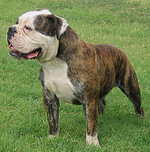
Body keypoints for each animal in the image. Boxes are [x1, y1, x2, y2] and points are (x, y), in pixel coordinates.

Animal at [7, 9, 144, 147]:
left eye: (28, 28)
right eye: (17, 22)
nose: (10, 29)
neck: (55, 62)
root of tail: (120, 51)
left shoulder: (89, 100)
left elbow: (90, 124)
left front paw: (92, 143)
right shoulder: (49, 97)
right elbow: (53, 119)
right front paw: (53, 137)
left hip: (130, 87)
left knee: (137, 105)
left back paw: (140, 119)